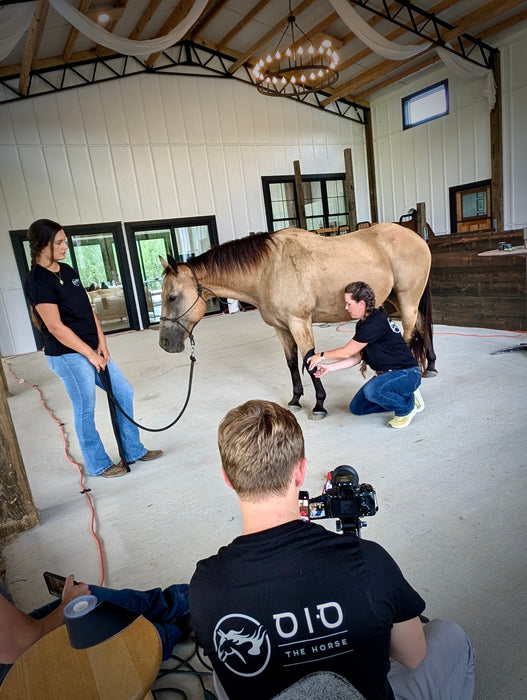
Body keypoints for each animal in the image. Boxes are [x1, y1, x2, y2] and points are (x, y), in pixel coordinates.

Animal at [158, 224, 438, 418]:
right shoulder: (281, 328)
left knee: (409, 336)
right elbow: (293, 363)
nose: (164, 343)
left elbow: (310, 360)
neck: (268, 270)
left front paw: (319, 405)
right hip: (395, 299)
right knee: (423, 327)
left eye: (172, 296)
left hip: (407, 301)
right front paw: (295, 401)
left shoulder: (299, 322)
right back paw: (431, 366)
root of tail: (416, 238)